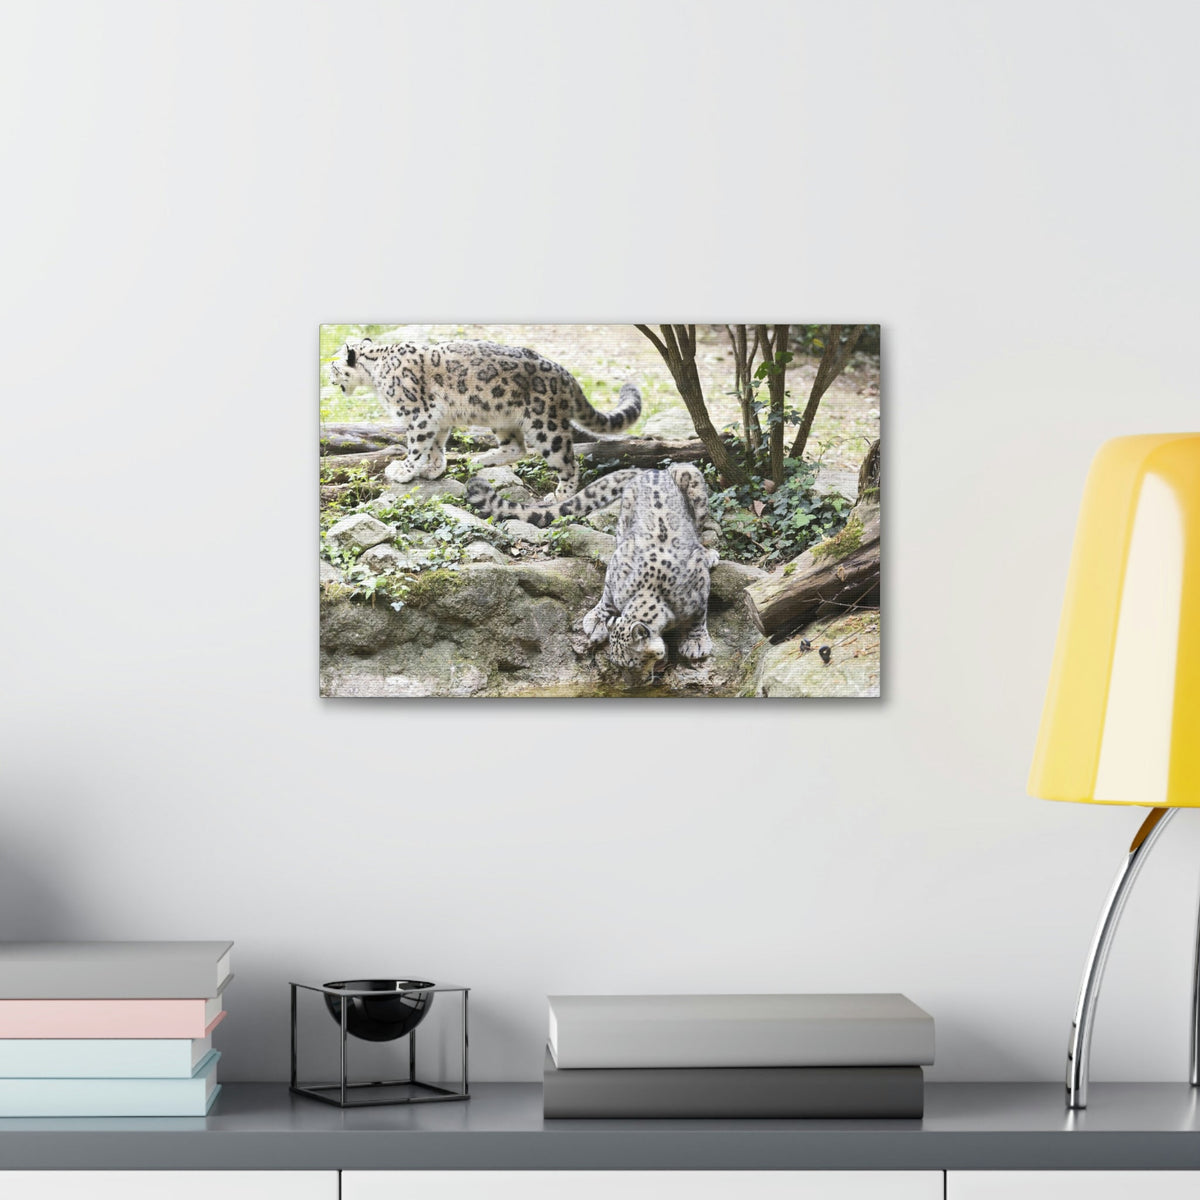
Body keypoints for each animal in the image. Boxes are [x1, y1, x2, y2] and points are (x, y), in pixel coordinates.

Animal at [329, 338, 641, 498]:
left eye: (333, 365)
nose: (329, 377)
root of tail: (567, 376)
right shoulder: (437, 419)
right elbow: (436, 445)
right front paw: (433, 469)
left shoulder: (418, 415)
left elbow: (416, 446)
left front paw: (403, 471)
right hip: (502, 419)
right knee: (516, 448)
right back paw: (481, 460)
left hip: (546, 425)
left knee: (568, 461)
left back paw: (561, 495)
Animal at [467, 464, 721, 683]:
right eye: (618, 663)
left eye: (634, 662)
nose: (631, 685)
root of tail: (651, 470)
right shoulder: (618, 568)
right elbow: (607, 595)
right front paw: (598, 619)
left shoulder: (698, 588)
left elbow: (699, 615)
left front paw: (696, 642)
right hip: (625, 519)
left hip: (692, 479)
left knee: (699, 528)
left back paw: (708, 553)